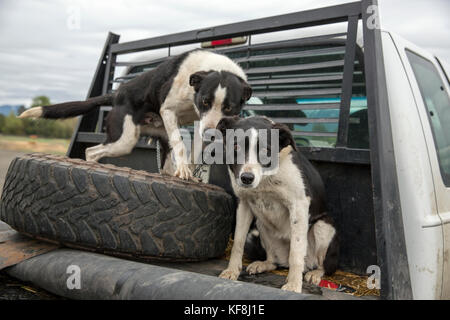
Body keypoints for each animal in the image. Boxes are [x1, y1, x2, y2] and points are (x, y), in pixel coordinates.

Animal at [19, 49, 251, 180]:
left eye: (229, 108)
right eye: (204, 102)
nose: (211, 134)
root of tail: (116, 94)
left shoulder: (200, 123)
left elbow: (193, 152)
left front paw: (189, 173)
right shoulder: (168, 110)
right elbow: (180, 144)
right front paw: (184, 170)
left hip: (157, 134)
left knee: (164, 162)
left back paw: (169, 172)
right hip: (125, 139)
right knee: (92, 151)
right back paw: (92, 166)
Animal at [217, 116, 338, 294]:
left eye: (266, 150)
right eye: (235, 146)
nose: (247, 178)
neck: (267, 177)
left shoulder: (299, 205)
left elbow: (296, 251)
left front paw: (294, 285)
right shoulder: (243, 203)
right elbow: (237, 242)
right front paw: (232, 271)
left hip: (323, 226)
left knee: (324, 266)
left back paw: (315, 273)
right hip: (260, 227)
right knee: (274, 261)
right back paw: (263, 264)